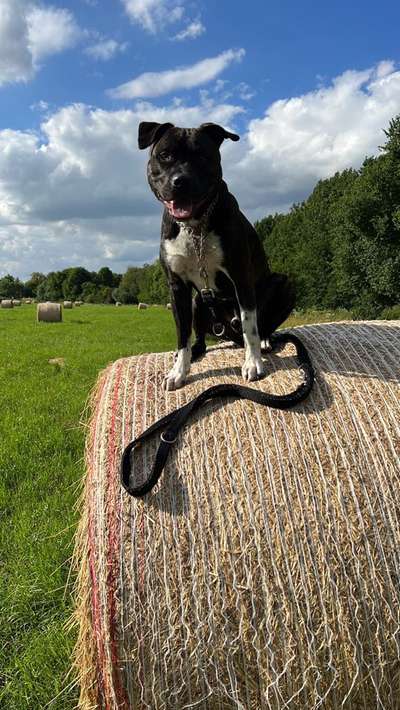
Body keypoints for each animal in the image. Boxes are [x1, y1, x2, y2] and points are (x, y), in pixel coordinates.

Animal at [138, 120, 294, 392]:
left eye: (202, 156)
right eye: (165, 155)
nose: (181, 181)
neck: (195, 226)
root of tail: (229, 334)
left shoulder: (241, 276)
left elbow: (250, 324)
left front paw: (253, 363)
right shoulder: (177, 286)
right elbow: (182, 333)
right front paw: (179, 371)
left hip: (284, 284)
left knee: (261, 324)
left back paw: (265, 341)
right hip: (197, 301)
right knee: (199, 336)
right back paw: (196, 352)